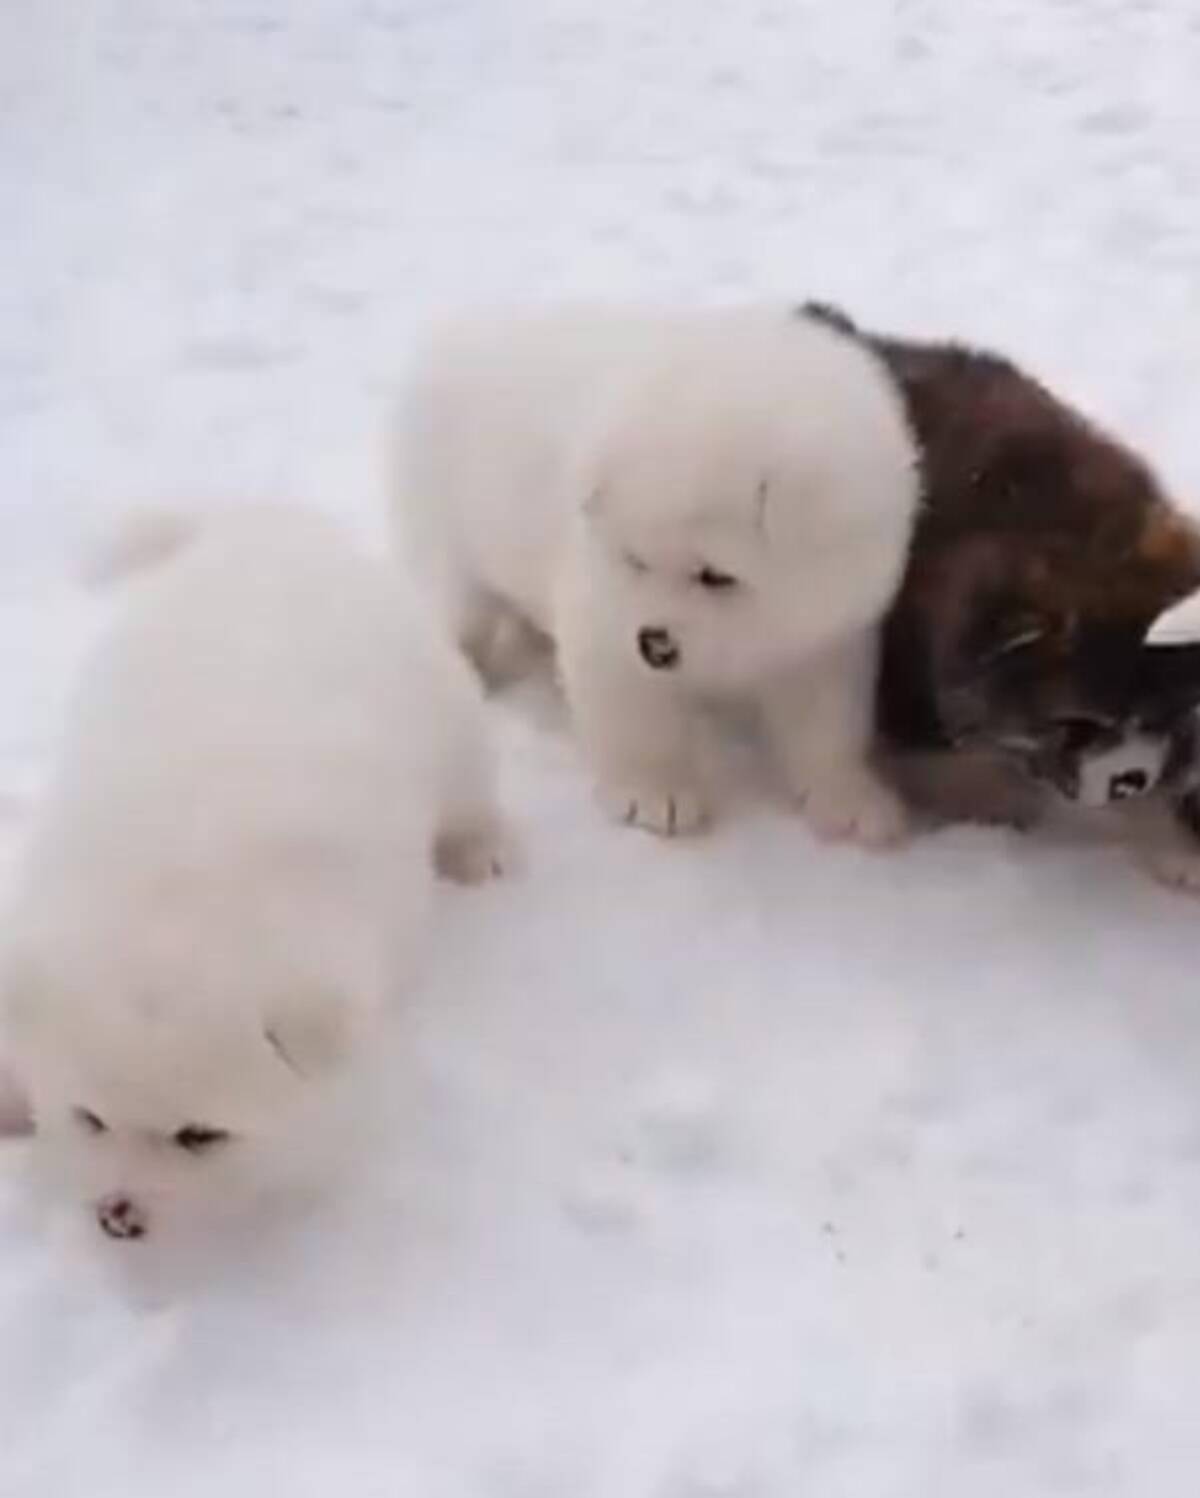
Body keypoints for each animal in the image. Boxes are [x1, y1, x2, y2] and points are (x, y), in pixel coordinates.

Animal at [0, 503, 509, 1240]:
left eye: (200, 1137)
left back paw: (478, 853)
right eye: (89, 1118)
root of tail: (272, 526)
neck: (176, 905)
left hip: (450, 722)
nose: (118, 1216)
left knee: (470, 792)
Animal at [395, 304, 916, 844]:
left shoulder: (828, 634)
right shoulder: (603, 610)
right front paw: (652, 793)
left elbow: (827, 720)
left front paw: (849, 797)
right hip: (449, 544)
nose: (653, 644)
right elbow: (634, 713)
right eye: (635, 560)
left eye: (716, 575)